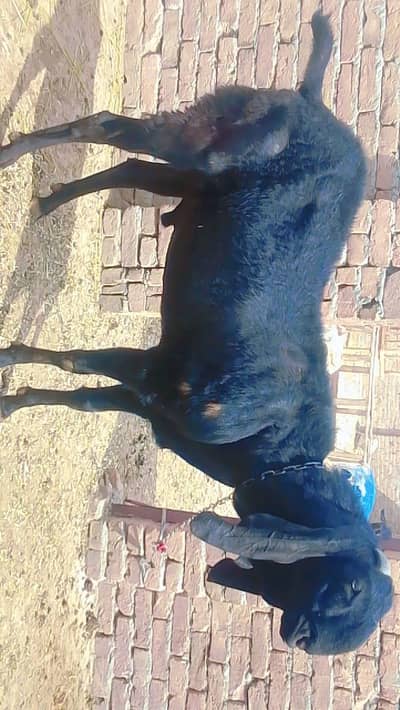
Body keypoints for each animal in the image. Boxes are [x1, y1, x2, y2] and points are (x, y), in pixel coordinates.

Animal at [0, 13, 393, 654]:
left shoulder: (154, 401)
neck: (270, 447)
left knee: (133, 166)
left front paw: (15, 400)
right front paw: (8, 362)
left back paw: (47, 201)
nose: (301, 637)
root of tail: (312, 102)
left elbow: (84, 396)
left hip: (195, 179)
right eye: (345, 589)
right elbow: (78, 363)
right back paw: (11, 154)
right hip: (211, 141)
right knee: (108, 126)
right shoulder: (163, 374)